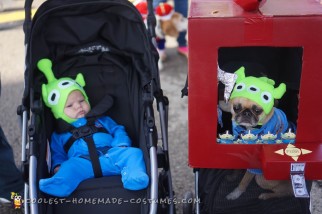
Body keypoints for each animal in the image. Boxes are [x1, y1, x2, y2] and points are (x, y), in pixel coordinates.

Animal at [224, 66, 294, 200]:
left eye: (257, 110)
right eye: (236, 108)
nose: (246, 113)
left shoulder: (254, 165)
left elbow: (244, 181)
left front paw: (235, 193)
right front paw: (233, 176)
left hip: (262, 179)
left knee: (286, 192)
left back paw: (266, 195)